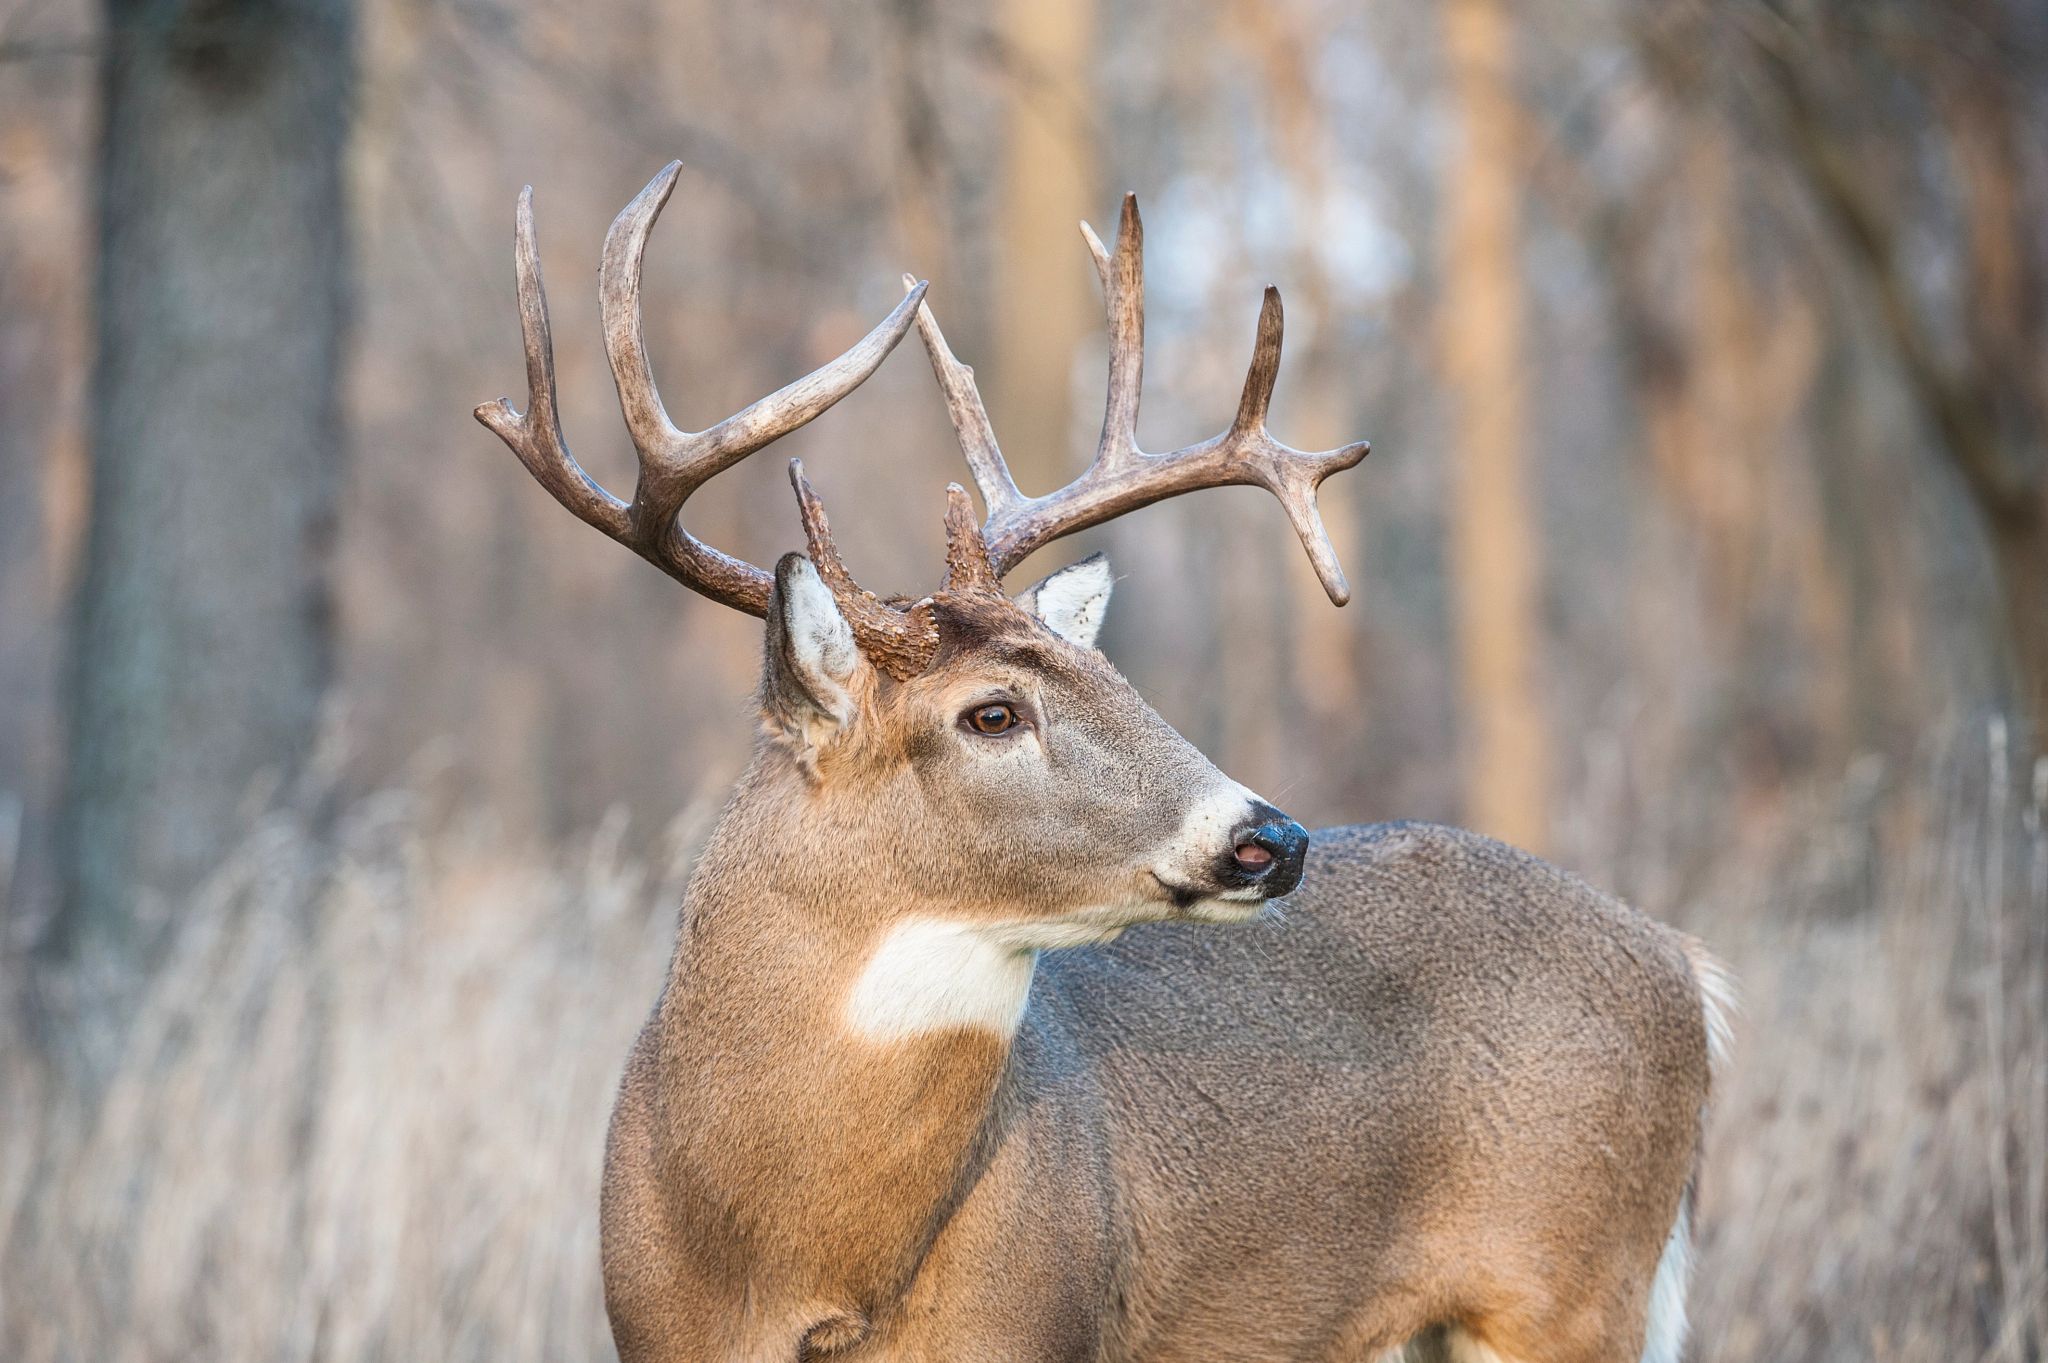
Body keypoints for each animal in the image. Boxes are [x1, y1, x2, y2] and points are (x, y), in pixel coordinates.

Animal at [475, 161, 1728, 1358]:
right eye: (992, 714)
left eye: (1113, 677)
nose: (1270, 837)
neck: (795, 1269)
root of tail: (1681, 963)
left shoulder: (1035, 1324)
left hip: (1573, 1287)